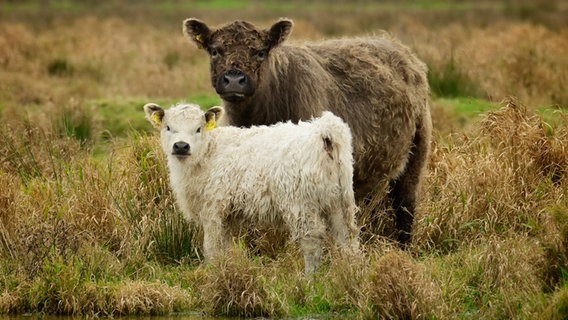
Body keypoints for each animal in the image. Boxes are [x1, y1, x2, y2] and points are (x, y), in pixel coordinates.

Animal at [184, 18, 432, 246]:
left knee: (404, 206)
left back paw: (404, 247)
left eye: (260, 52)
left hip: (415, 158)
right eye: (215, 50)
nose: (234, 79)